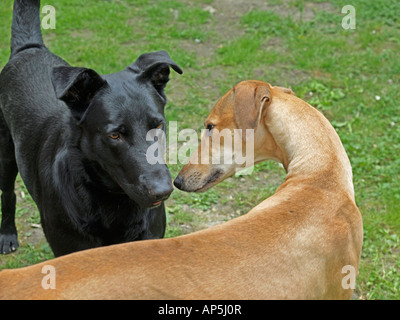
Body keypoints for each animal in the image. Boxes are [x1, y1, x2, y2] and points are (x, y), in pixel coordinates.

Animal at [0, 0, 181, 255]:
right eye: (114, 135)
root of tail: (28, 48)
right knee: (7, 194)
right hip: (5, 156)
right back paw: (7, 234)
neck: (112, 200)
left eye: (158, 126)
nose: (163, 191)